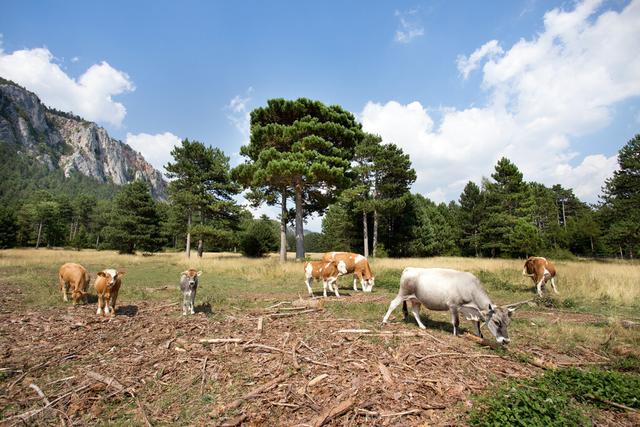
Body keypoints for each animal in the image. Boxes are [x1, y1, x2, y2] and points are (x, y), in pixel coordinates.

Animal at [380, 268, 520, 344]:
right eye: (496, 322)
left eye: (508, 323)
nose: (506, 341)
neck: (470, 287)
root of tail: (410, 268)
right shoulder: (453, 305)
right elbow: (456, 322)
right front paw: (455, 335)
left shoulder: (472, 311)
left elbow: (476, 324)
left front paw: (479, 337)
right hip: (403, 293)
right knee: (393, 304)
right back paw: (384, 321)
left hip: (416, 299)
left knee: (415, 311)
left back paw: (422, 326)